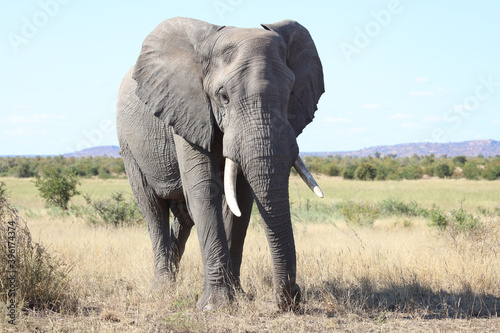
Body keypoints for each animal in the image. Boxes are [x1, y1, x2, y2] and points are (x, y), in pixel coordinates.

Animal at [118, 16, 324, 310]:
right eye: (223, 96)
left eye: (291, 94)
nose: (293, 296)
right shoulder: (187, 107)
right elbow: (204, 190)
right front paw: (216, 306)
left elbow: (242, 201)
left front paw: (238, 298)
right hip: (129, 147)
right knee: (153, 209)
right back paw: (162, 290)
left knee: (184, 217)